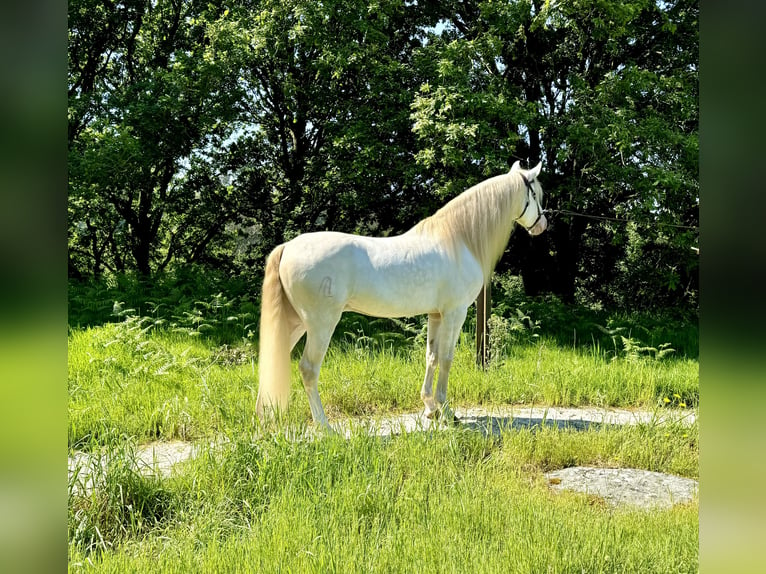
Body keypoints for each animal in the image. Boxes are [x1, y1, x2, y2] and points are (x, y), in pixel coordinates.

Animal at [255, 160, 548, 430]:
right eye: (535, 194)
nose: (543, 225)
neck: (459, 240)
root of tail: (288, 247)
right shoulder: (455, 313)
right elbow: (447, 358)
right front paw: (447, 410)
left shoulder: (436, 315)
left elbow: (431, 357)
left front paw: (430, 408)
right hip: (320, 324)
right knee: (308, 369)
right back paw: (324, 426)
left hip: (295, 323)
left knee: (273, 358)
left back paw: (264, 420)